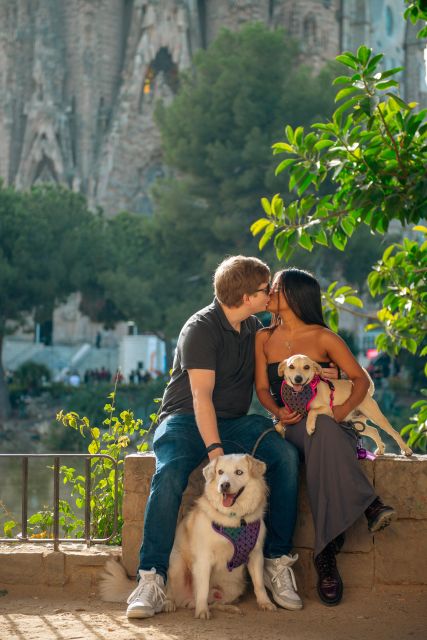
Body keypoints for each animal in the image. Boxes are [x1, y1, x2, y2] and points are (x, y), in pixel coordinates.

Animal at [99, 452, 278, 616]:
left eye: (239, 472)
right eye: (220, 472)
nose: (224, 485)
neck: (234, 519)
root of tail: (186, 599)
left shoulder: (256, 555)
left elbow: (259, 584)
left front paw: (265, 603)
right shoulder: (204, 558)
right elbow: (203, 588)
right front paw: (202, 611)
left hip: (233, 586)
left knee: (214, 601)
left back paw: (228, 608)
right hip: (177, 567)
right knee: (169, 591)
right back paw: (170, 603)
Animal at [278, 356, 414, 456]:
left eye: (306, 367)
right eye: (291, 366)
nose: (298, 378)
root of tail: (367, 393)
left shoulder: (328, 408)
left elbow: (312, 411)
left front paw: (309, 427)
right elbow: (280, 422)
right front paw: (280, 429)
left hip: (376, 417)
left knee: (394, 432)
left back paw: (406, 450)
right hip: (356, 423)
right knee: (373, 430)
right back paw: (380, 449)